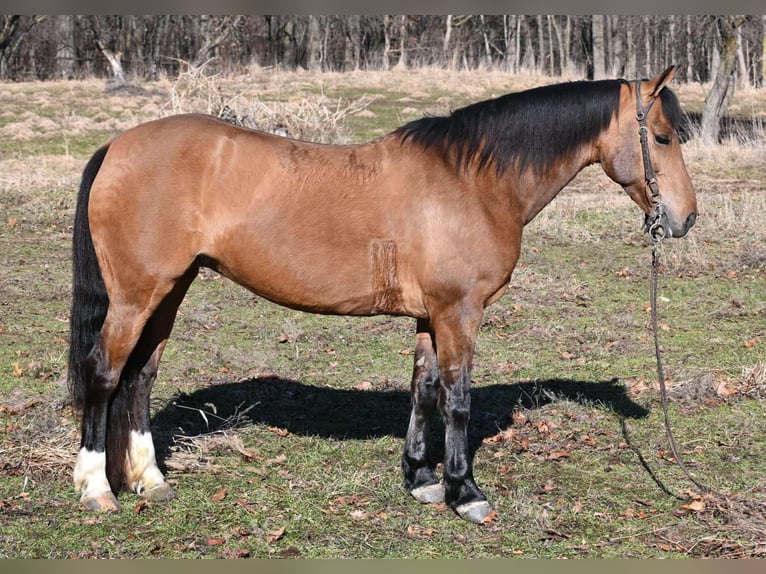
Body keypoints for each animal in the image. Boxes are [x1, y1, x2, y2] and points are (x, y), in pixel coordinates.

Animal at [69, 65, 700, 524]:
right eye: (662, 137)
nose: (686, 219)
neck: (472, 181)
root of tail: (117, 147)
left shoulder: (430, 316)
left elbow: (424, 391)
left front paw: (420, 479)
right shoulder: (459, 313)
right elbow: (457, 399)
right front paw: (464, 492)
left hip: (170, 290)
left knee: (140, 378)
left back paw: (150, 480)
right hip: (137, 296)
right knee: (104, 373)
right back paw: (97, 487)